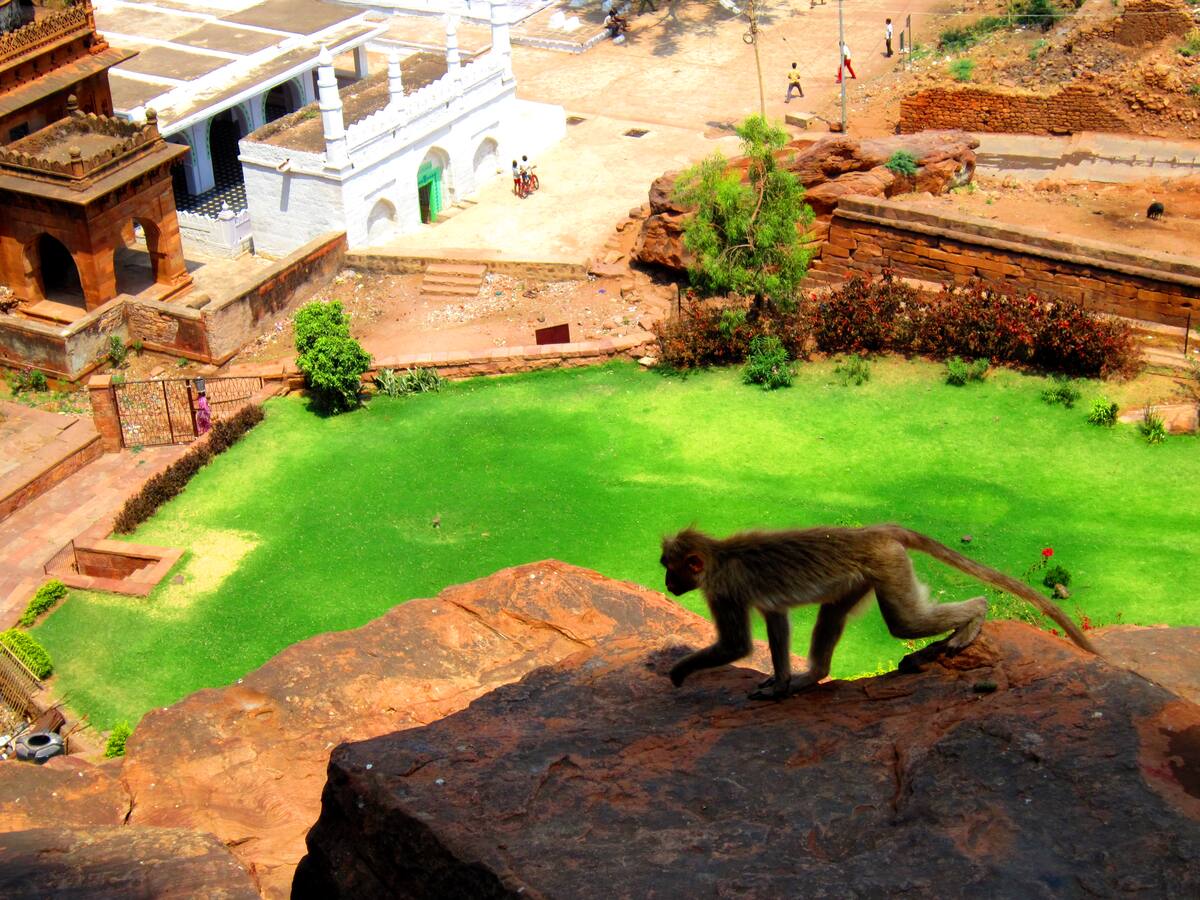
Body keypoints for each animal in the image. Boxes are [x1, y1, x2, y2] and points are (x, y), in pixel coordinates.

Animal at [660, 525, 1097, 700]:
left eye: (670, 567)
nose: (666, 583)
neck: (718, 556)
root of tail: (874, 531)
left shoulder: (723, 590)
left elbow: (737, 646)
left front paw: (678, 673)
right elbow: (776, 619)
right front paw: (782, 683)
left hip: (888, 564)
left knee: (905, 622)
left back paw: (976, 614)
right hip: (864, 575)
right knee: (834, 614)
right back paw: (813, 676)